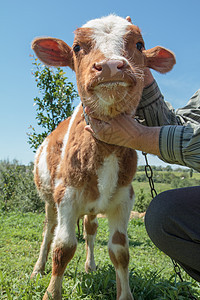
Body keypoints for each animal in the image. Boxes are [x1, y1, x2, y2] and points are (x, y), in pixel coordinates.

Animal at [30, 14, 175, 300]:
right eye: (77, 47)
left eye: (140, 45)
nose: (110, 67)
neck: (105, 151)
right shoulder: (66, 195)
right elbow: (62, 247)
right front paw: (51, 292)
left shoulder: (124, 200)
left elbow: (120, 251)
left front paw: (125, 294)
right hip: (49, 198)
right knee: (48, 230)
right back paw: (38, 268)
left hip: (93, 207)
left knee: (90, 230)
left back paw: (90, 265)